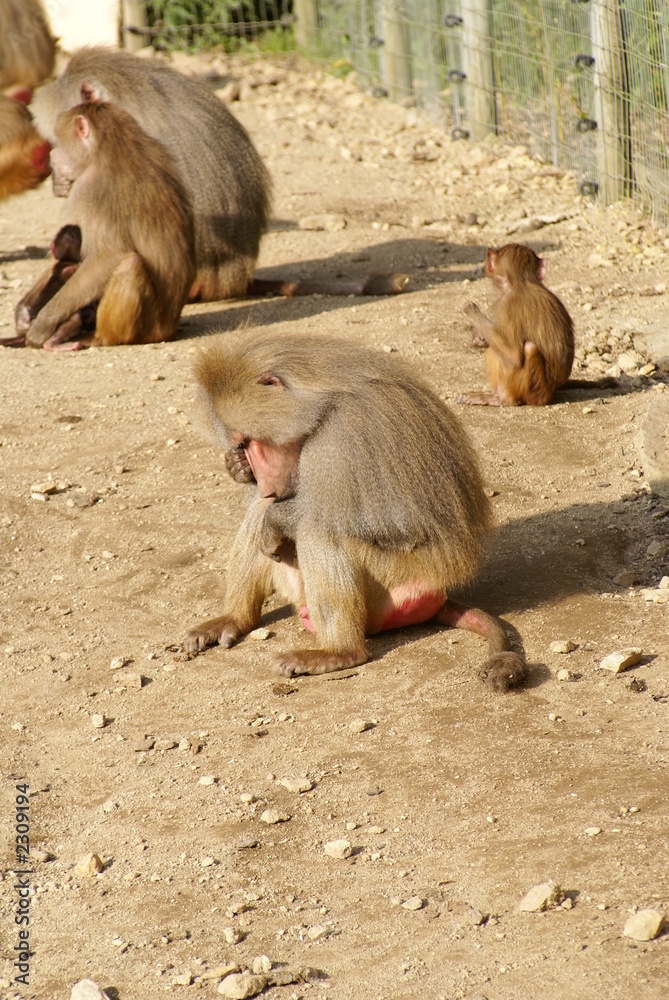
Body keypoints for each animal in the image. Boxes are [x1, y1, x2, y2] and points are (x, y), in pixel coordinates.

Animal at [17, 102, 195, 350]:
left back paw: (93, 337)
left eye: (59, 142)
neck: (112, 146)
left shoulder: (91, 190)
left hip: (148, 327)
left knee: (130, 264)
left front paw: (43, 324)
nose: (53, 155)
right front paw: (24, 311)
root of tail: (169, 328)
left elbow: (107, 255)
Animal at [183, 332, 528, 692]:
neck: (317, 406)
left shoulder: (342, 440)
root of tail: (441, 593)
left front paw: (276, 517)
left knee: (318, 530)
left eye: (251, 440)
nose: (264, 483)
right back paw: (233, 619)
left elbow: (384, 522)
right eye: (242, 444)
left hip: (398, 581)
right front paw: (237, 469)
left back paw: (339, 652)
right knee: (261, 511)